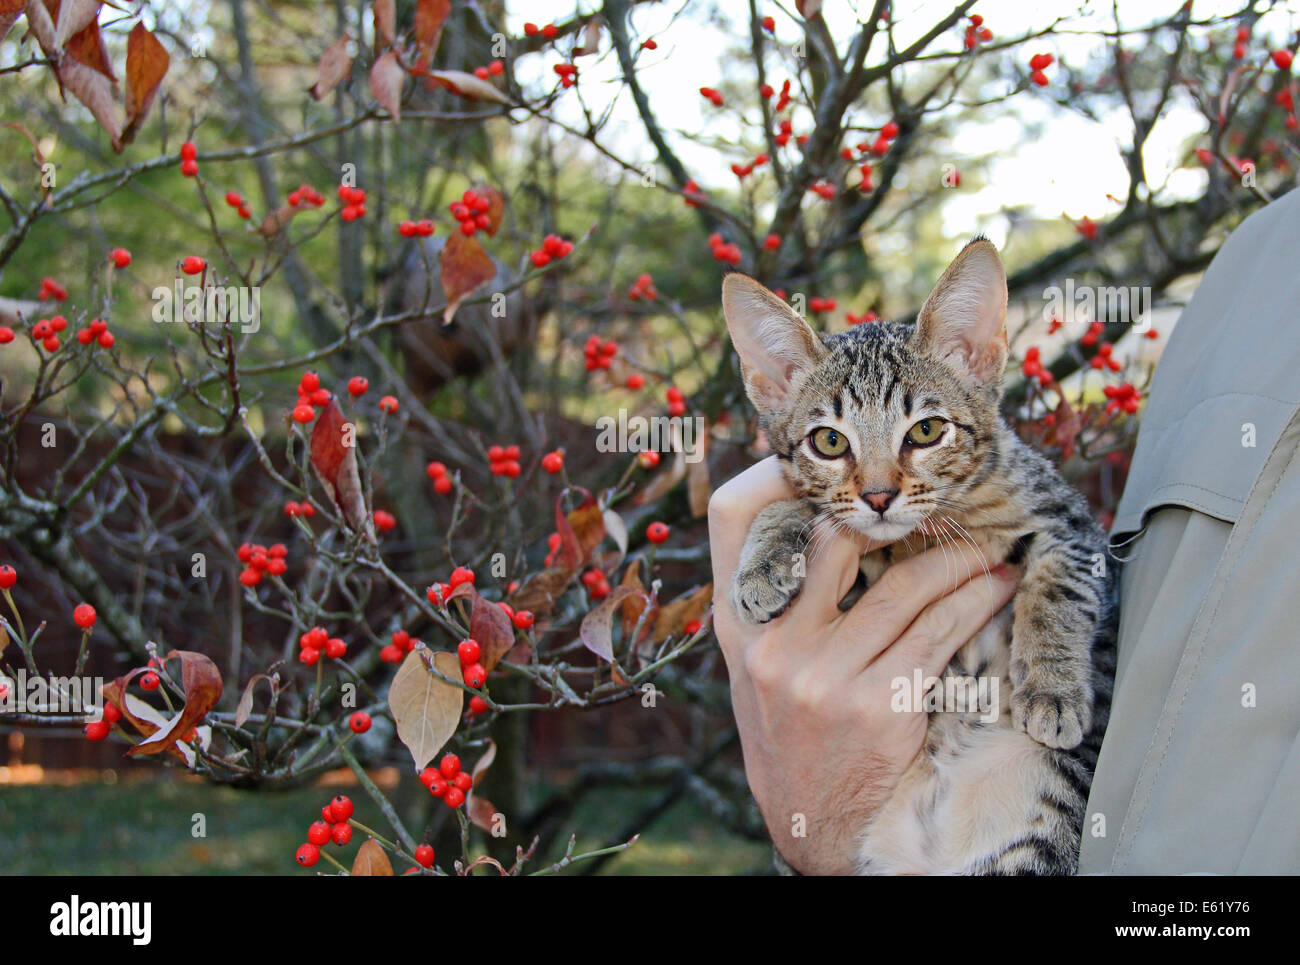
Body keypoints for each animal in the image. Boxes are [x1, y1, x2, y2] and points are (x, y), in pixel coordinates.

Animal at [722, 240, 1118, 879]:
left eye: (927, 430)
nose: (879, 496)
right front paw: (762, 563)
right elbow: (796, 506)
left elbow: (1060, 588)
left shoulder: (1073, 527)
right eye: (829, 441)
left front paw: (1052, 691)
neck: (921, 534)